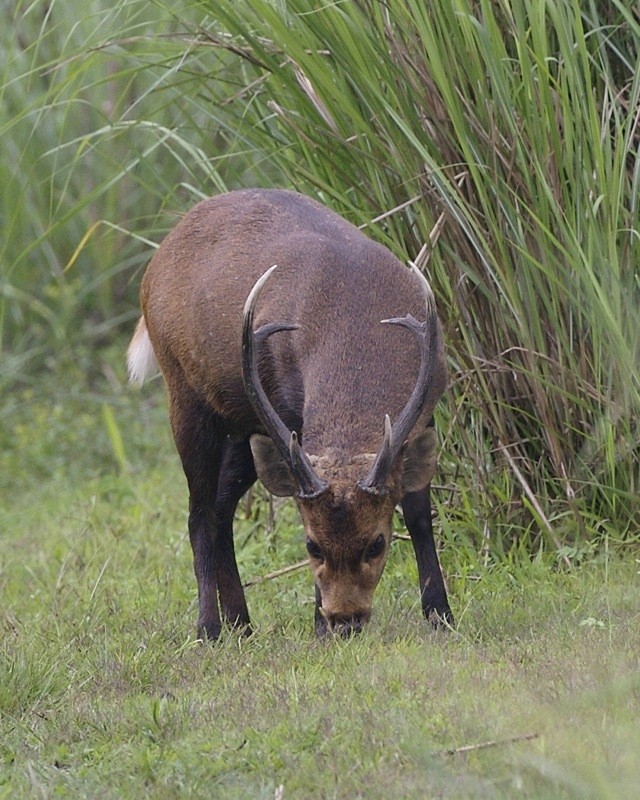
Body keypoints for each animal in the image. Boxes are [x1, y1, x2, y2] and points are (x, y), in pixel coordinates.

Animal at [127, 188, 452, 636]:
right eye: (311, 545)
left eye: (377, 543)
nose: (344, 619)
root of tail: (156, 258)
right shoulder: (287, 411)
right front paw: (318, 627)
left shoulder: (428, 403)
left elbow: (420, 512)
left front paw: (440, 614)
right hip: (185, 392)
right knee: (199, 513)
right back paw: (209, 628)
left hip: (247, 423)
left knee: (221, 506)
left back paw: (241, 622)